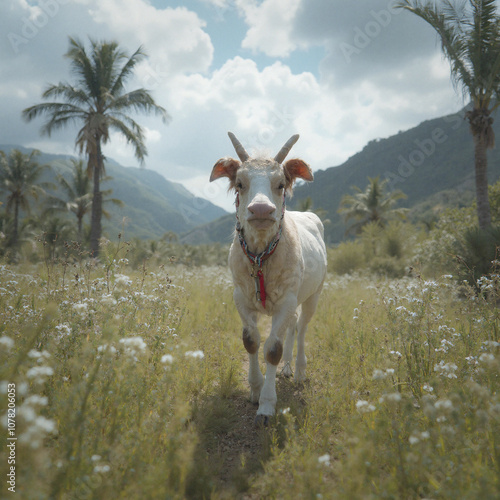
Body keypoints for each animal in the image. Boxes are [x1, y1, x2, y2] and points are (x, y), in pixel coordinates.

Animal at [211, 133, 328, 426]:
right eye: (240, 183)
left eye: (280, 184)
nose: (262, 209)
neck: (261, 257)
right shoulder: (240, 296)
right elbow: (251, 340)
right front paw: (255, 388)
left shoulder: (287, 300)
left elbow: (272, 348)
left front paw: (266, 404)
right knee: (292, 327)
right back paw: (285, 368)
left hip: (313, 294)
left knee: (302, 328)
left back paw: (298, 370)